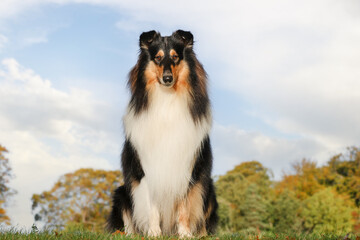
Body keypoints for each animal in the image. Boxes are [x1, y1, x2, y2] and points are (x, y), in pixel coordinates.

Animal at [107, 29, 217, 236]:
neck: (167, 101)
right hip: (121, 193)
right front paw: (153, 233)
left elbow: (184, 207)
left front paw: (185, 234)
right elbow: (152, 206)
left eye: (175, 57)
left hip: (208, 190)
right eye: (157, 58)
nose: (167, 79)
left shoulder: (186, 169)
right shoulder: (147, 170)